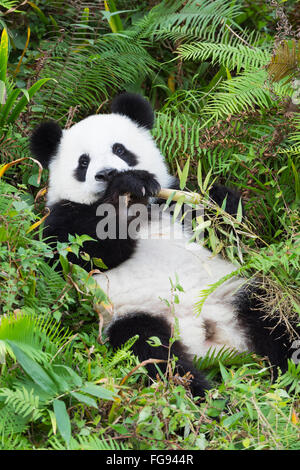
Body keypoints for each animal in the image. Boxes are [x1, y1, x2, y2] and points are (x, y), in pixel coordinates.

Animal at [29, 93, 298, 398]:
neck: (142, 210)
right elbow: (81, 253)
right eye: (83, 162)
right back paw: (201, 396)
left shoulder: (173, 202)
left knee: (277, 319)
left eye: (120, 149)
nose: (107, 173)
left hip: (236, 293)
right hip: (132, 316)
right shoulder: (62, 217)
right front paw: (124, 189)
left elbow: (225, 234)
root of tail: (210, 341)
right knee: (153, 354)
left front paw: (220, 203)